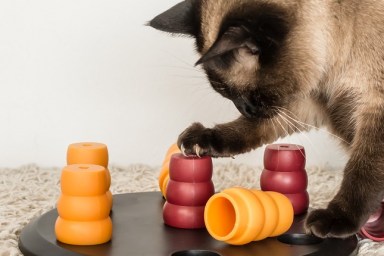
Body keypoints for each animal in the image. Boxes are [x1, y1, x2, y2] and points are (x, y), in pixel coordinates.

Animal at [148, 0, 384, 239]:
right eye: (227, 94)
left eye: (253, 95)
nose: (245, 110)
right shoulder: (303, 102)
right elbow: (247, 129)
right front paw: (200, 139)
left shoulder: (375, 108)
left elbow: (362, 171)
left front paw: (337, 218)